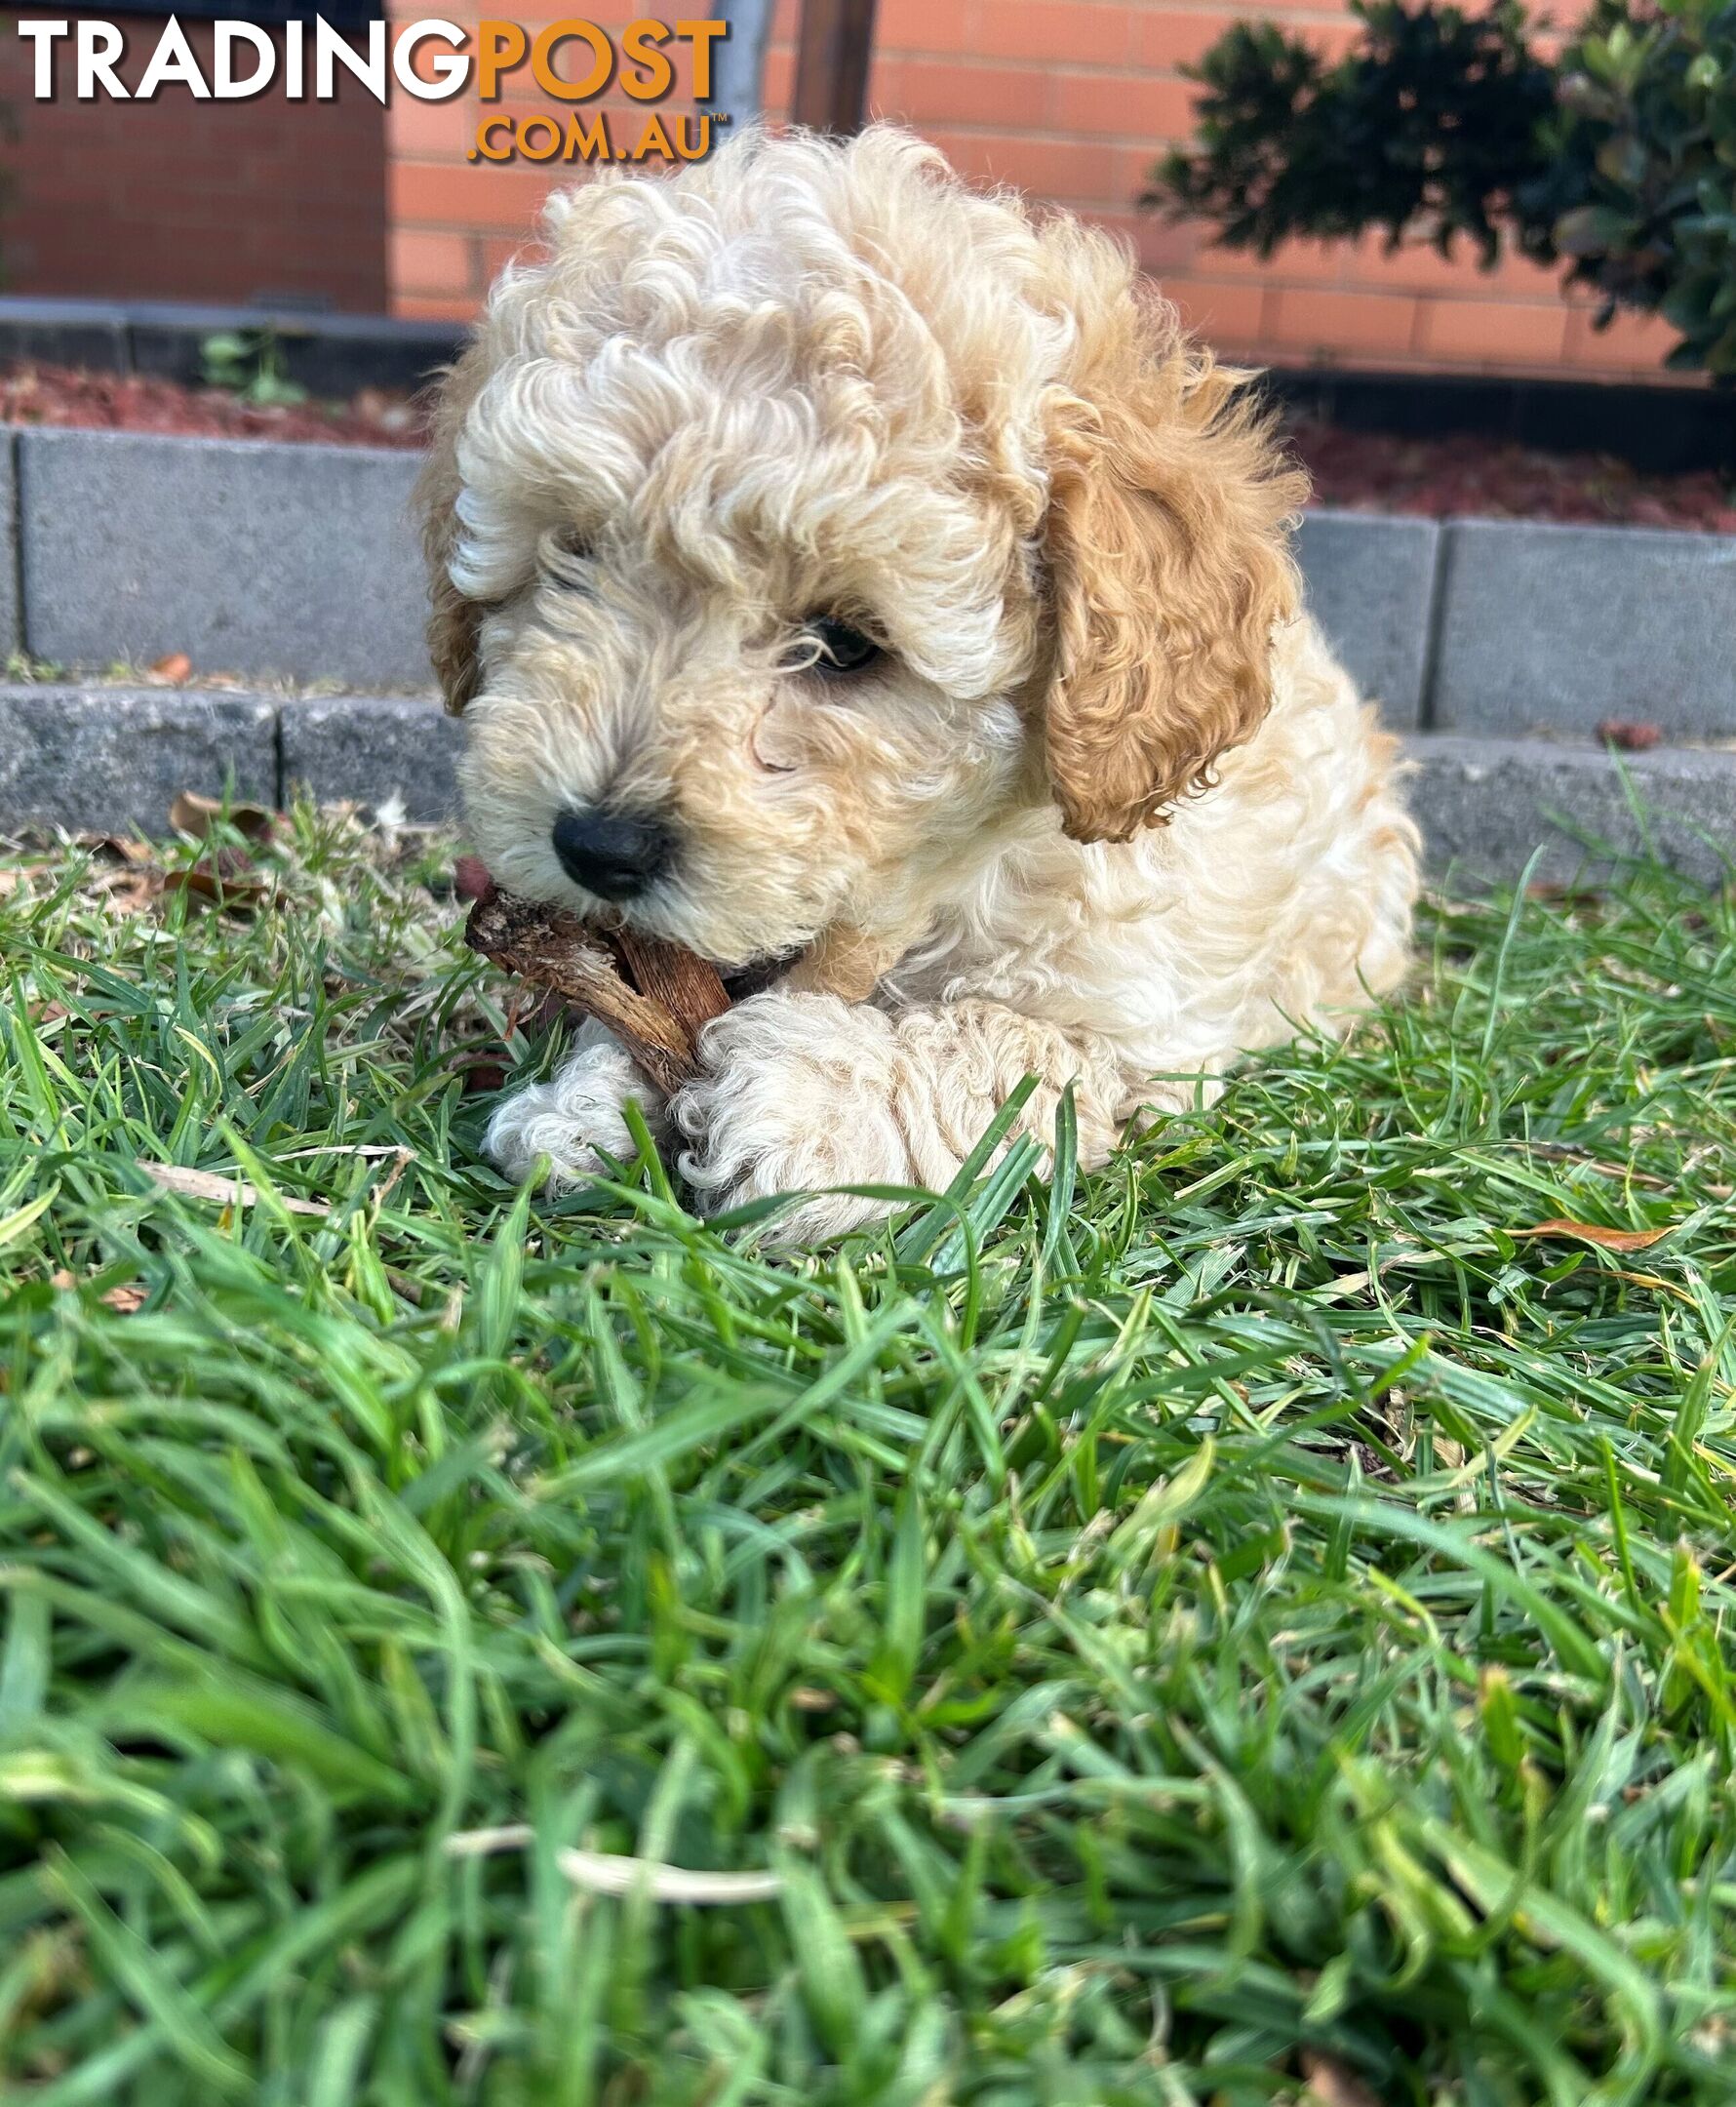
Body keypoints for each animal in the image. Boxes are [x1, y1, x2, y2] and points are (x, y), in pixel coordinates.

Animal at [423, 123, 1424, 1239]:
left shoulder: (1140, 1029)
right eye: (576, 559)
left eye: (846, 644)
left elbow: (1001, 1049)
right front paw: (585, 1104)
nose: (597, 846)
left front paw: (807, 1103)